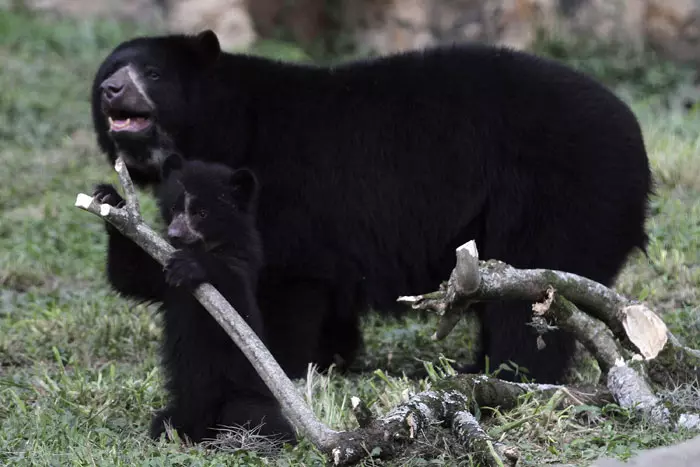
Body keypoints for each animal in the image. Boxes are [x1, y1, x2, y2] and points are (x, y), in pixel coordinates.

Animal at [90, 31, 652, 386]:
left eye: (153, 73)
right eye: (111, 71)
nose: (111, 89)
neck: (226, 125)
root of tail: (638, 144)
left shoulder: (287, 195)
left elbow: (284, 279)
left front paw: (277, 364)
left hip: (561, 199)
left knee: (531, 303)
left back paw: (510, 376)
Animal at [91, 155, 294, 444]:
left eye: (202, 213)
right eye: (175, 208)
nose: (174, 233)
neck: (205, 245)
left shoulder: (243, 261)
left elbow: (236, 307)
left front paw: (192, 266)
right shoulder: (162, 274)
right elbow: (130, 276)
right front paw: (110, 199)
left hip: (243, 395)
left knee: (258, 420)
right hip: (183, 407)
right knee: (165, 422)